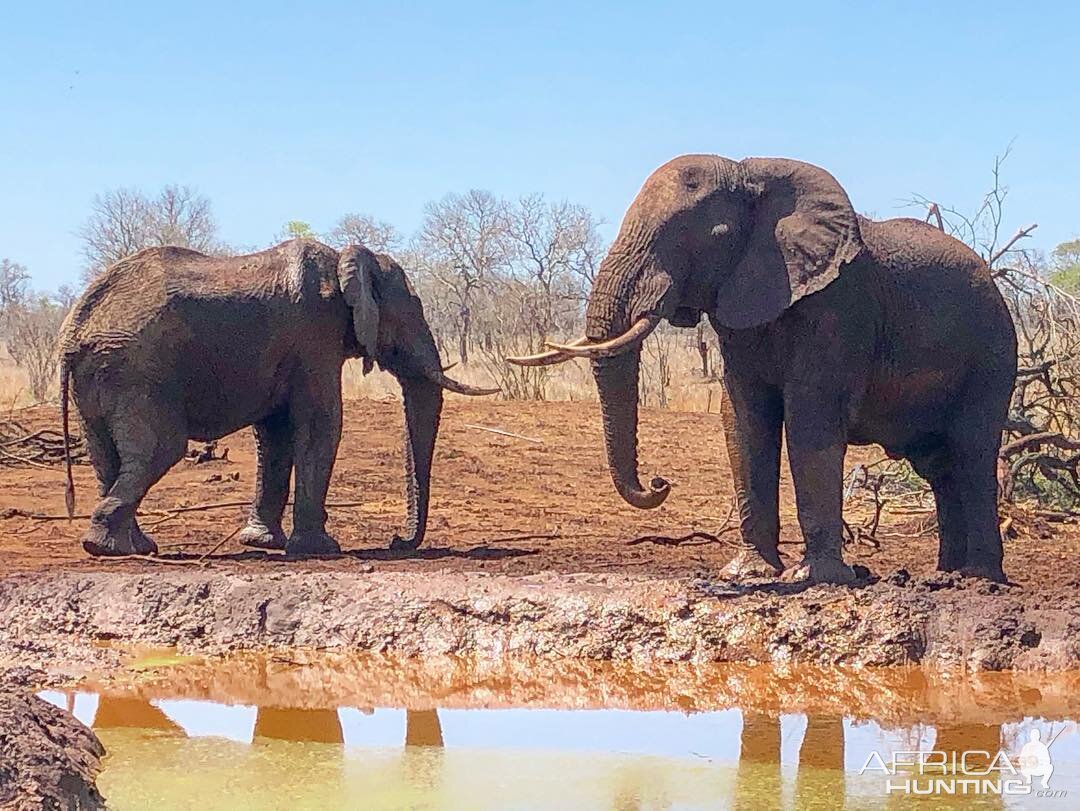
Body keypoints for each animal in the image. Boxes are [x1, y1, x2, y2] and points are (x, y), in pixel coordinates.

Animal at [60, 237, 496, 557]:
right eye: (413, 310)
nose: (395, 541)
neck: (344, 259)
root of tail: (74, 328)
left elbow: (276, 435)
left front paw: (264, 543)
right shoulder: (314, 336)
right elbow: (322, 424)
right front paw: (321, 549)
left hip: (101, 377)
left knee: (108, 458)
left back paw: (131, 547)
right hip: (136, 371)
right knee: (161, 450)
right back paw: (109, 547)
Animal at [509, 153, 1015, 583]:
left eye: (711, 235)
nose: (659, 482)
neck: (748, 172)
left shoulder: (838, 308)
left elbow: (810, 421)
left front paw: (819, 579)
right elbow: (743, 419)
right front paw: (747, 574)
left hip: (992, 355)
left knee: (971, 452)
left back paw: (980, 579)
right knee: (939, 465)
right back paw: (947, 576)